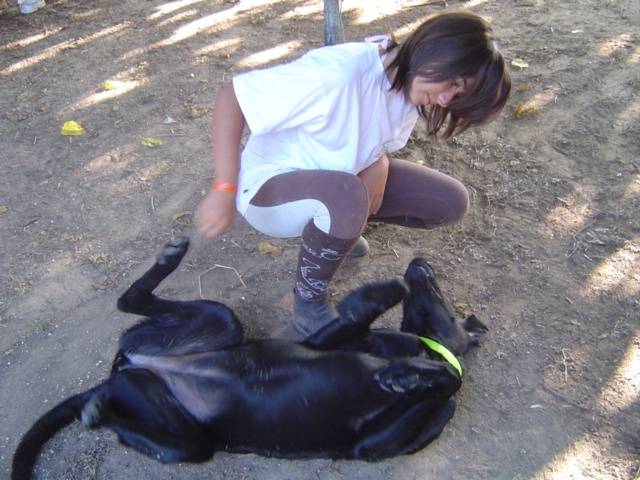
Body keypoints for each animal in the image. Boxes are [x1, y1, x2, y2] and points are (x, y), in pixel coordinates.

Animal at [12, 237, 487, 479]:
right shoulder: (324, 344)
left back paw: (96, 411)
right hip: (220, 322)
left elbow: (450, 378)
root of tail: (120, 372)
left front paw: (410, 376)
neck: (421, 346)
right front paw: (378, 296)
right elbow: (367, 321)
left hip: (187, 437)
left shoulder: (372, 446)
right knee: (129, 300)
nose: (421, 262)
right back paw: (170, 256)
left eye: (445, 301)